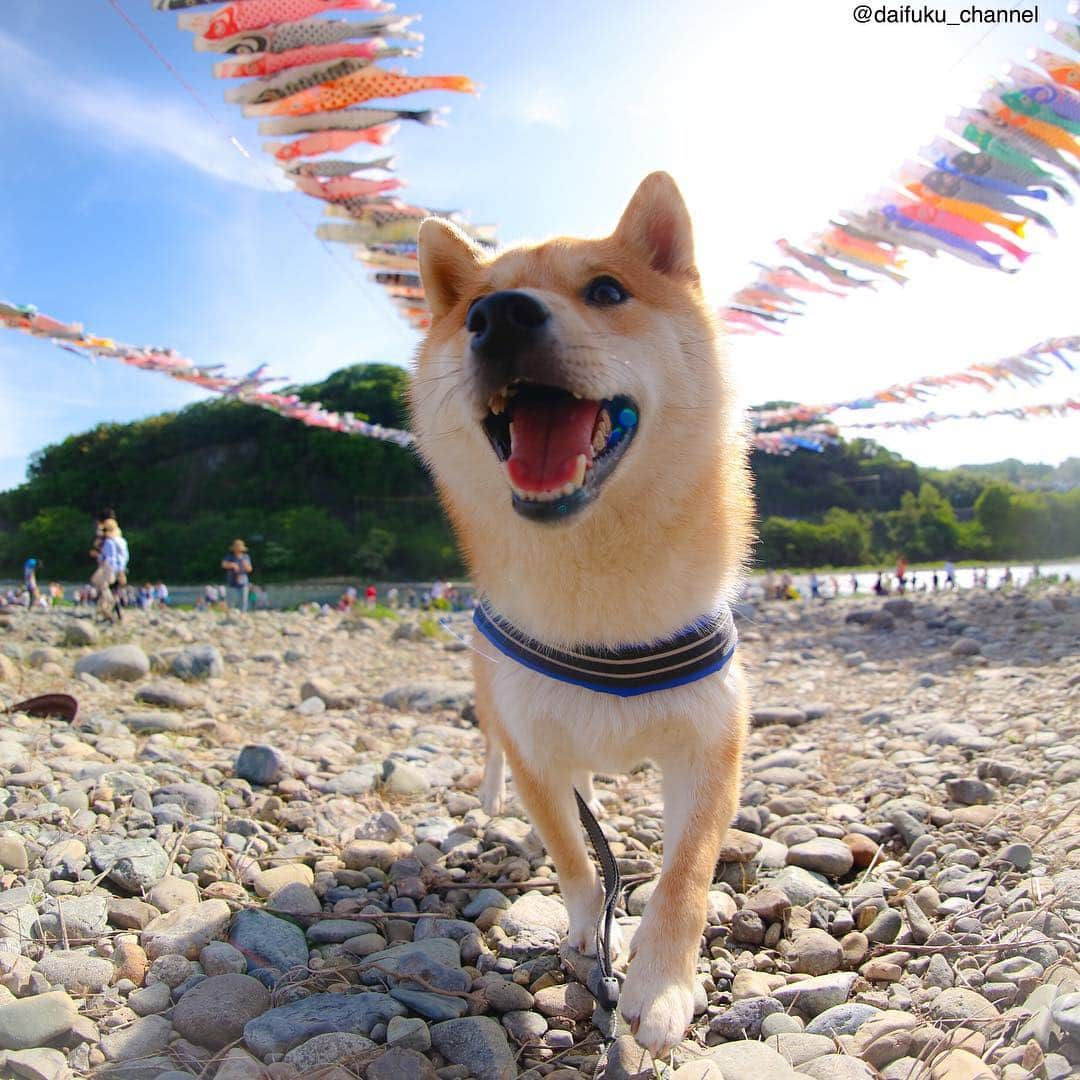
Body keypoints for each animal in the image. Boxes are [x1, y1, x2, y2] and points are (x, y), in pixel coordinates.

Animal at [408, 174, 756, 1054]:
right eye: (474, 310)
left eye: (606, 291)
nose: (501, 317)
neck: (605, 609)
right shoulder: (535, 745)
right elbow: (569, 855)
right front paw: (584, 934)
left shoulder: (711, 741)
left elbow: (686, 874)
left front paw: (660, 984)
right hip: (493, 709)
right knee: (499, 760)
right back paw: (490, 804)